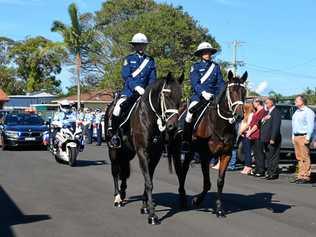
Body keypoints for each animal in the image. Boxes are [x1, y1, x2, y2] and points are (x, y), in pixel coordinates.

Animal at [104, 73, 183, 225]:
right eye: (167, 94)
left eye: (180, 97)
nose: (172, 126)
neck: (149, 117)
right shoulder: (142, 152)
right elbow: (149, 182)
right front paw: (152, 215)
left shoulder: (155, 154)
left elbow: (149, 179)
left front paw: (145, 207)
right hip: (114, 150)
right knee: (115, 171)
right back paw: (117, 198)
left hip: (128, 152)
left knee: (124, 172)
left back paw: (123, 194)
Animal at [170, 70, 247, 217]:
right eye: (231, 91)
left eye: (244, 92)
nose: (239, 116)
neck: (219, 124)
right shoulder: (205, 155)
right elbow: (207, 183)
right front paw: (197, 200)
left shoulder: (226, 154)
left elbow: (220, 182)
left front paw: (219, 208)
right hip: (182, 150)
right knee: (182, 171)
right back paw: (182, 198)